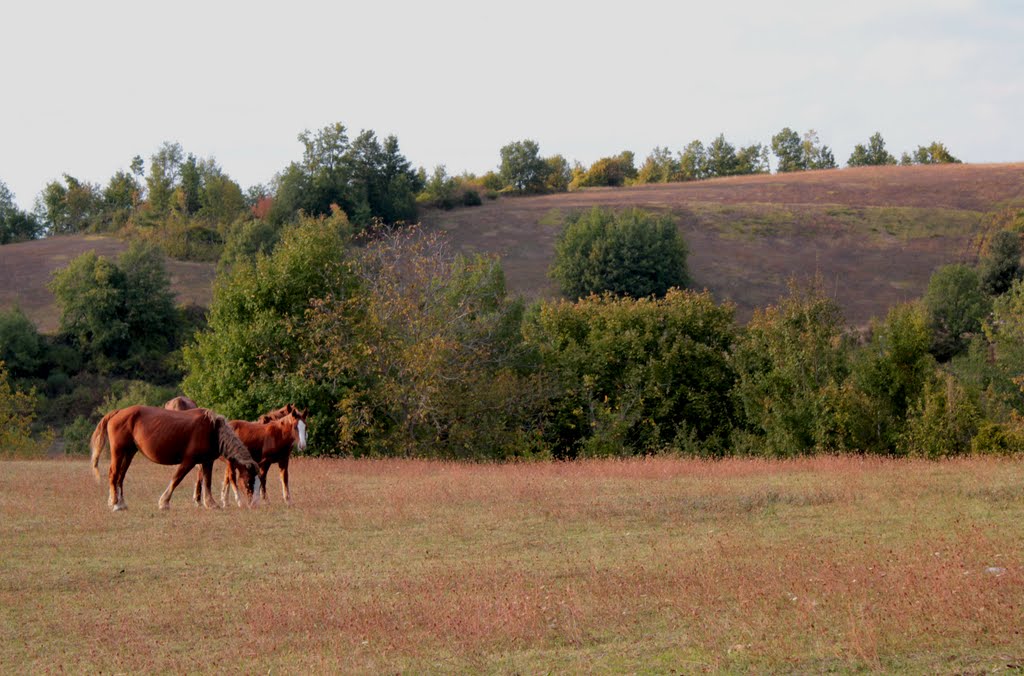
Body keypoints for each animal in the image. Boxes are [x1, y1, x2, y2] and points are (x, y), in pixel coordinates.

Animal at [90, 407, 262, 512]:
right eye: (249, 481)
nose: (253, 504)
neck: (213, 430)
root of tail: (117, 412)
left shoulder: (206, 462)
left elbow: (207, 482)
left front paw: (211, 504)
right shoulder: (188, 461)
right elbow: (176, 479)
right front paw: (164, 502)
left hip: (129, 453)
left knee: (120, 477)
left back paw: (121, 503)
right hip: (119, 452)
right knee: (114, 475)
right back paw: (115, 503)